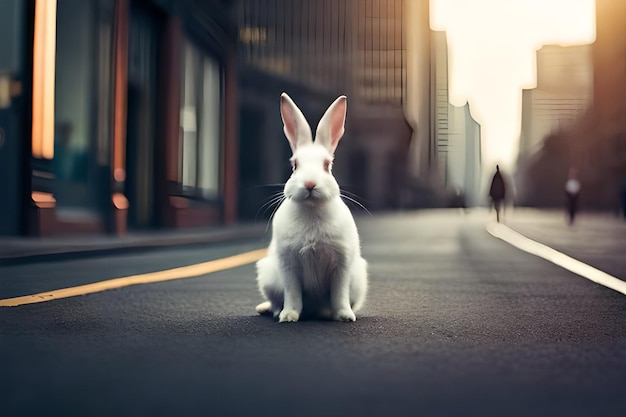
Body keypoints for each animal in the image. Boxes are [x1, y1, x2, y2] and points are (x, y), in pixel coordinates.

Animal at [254, 93, 366, 322]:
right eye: (294, 165)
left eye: (327, 165)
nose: (310, 184)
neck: (312, 208)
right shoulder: (288, 264)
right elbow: (292, 293)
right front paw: (289, 316)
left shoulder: (342, 263)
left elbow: (339, 294)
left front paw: (345, 316)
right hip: (267, 275)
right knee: (275, 300)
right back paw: (269, 310)